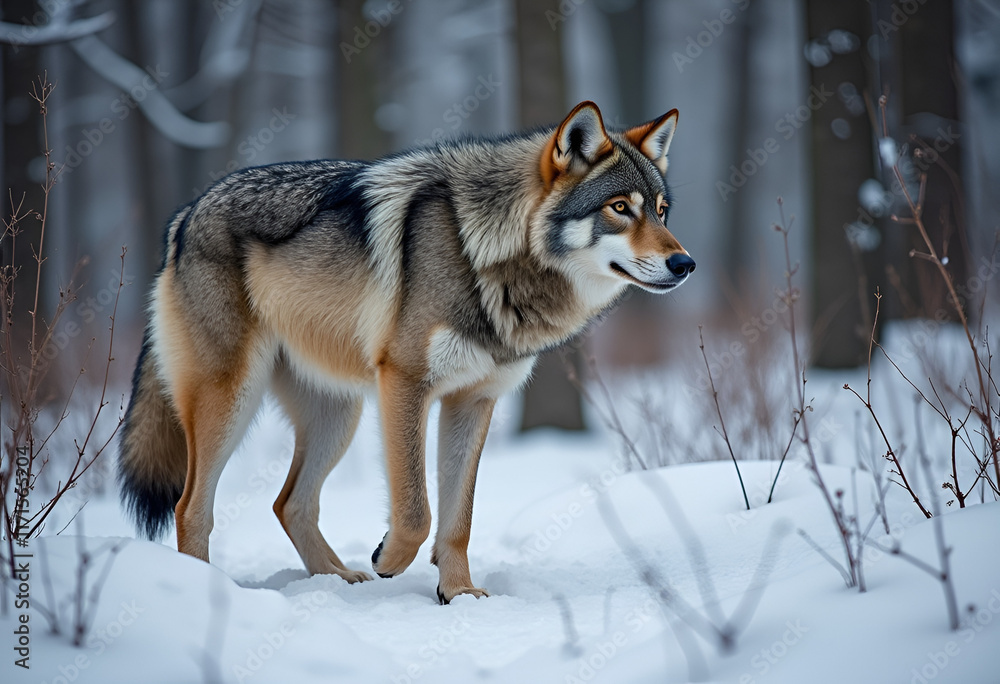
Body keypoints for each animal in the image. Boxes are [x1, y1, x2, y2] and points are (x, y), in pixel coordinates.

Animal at [118, 101, 695, 604]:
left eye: (662, 212)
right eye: (619, 209)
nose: (685, 263)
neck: (481, 253)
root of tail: (186, 214)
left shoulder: (473, 401)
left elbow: (459, 518)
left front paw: (458, 594)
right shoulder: (405, 383)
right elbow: (417, 512)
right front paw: (389, 560)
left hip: (338, 416)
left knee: (289, 504)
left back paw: (338, 581)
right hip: (232, 401)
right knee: (191, 507)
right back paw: (208, 592)